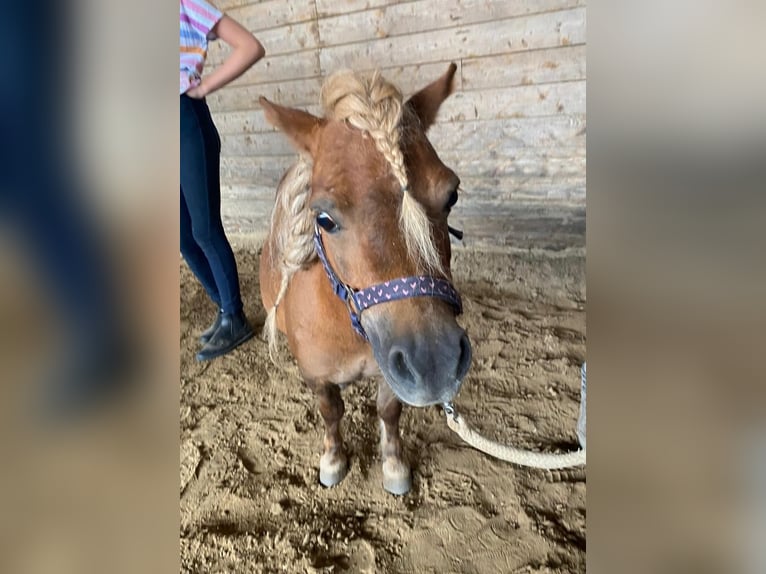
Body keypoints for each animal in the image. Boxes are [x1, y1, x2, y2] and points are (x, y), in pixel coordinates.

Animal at [260, 62, 472, 496]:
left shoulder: (393, 371)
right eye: (324, 218)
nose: (435, 361)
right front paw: (333, 460)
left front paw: (393, 466)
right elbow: (330, 413)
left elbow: (388, 411)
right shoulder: (317, 377)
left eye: (452, 195)